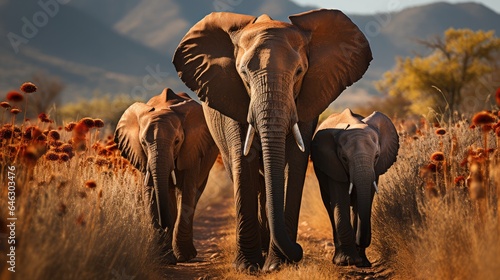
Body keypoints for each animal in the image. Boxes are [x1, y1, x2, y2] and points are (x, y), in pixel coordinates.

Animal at [116, 88, 220, 264]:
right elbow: (151, 192)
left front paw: (184, 257)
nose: (164, 224)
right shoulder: (143, 158)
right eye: (143, 142)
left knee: (194, 194)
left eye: (177, 141)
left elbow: (186, 190)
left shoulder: (191, 149)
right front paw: (164, 259)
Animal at [172, 9, 372, 272]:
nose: (299, 250)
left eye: (299, 72)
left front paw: (278, 265)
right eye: (243, 74)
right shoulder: (232, 97)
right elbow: (243, 162)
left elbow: (294, 163)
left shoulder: (306, 100)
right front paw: (247, 267)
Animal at [312, 107, 398, 266]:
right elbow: (341, 201)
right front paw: (347, 261)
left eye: (376, 156)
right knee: (329, 207)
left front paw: (362, 263)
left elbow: (363, 202)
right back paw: (339, 259)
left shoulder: (375, 170)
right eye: (344, 158)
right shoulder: (333, 164)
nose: (358, 242)